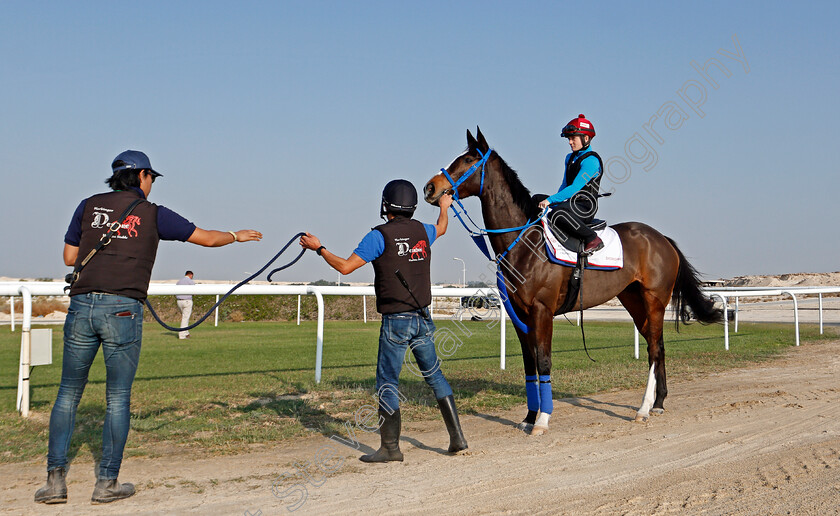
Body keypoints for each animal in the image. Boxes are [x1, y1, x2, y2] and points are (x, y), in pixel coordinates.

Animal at [426, 128, 720, 432]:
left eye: (468, 160)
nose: (430, 188)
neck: (525, 243)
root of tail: (662, 239)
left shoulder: (542, 311)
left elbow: (544, 361)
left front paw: (542, 419)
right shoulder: (519, 314)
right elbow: (529, 365)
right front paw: (529, 417)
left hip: (655, 299)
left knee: (653, 348)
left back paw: (643, 408)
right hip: (634, 301)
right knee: (657, 346)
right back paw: (658, 403)